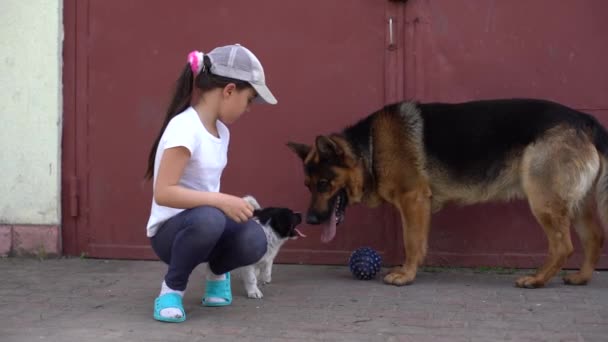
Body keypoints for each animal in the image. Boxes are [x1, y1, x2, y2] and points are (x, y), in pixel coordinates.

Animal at [286, 99, 608, 288]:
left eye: (324, 184)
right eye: (308, 186)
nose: (309, 220)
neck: (370, 147)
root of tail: (586, 120)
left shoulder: (413, 199)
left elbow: (411, 242)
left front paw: (406, 275)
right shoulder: (417, 205)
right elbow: (418, 242)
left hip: (543, 200)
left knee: (563, 245)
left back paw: (538, 279)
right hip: (574, 204)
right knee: (594, 237)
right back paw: (581, 277)